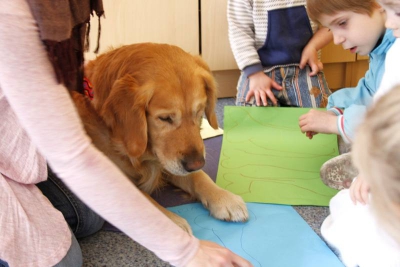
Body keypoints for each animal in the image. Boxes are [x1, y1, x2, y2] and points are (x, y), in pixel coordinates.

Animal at [72, 43, 247, 233]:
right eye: (165, 118)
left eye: (199, 111)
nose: (197, 163)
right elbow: (144, 201)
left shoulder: (168, 161)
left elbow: (198, 177)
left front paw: (224, 197)